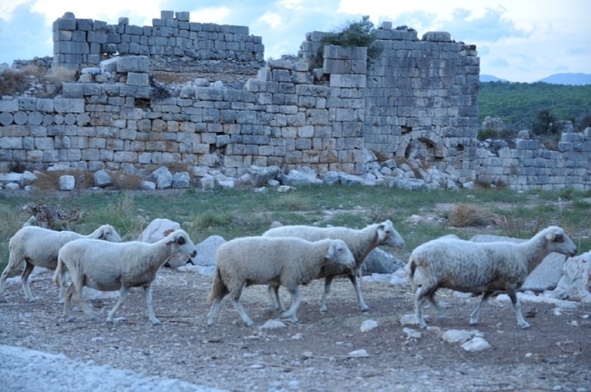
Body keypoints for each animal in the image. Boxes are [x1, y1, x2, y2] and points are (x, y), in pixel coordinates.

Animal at [53, 230, 197, 324]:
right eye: (181, 240)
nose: (195, 252)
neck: (152, 254)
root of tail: (62, 251)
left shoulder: (146, 283)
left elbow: (150, 301)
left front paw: (154, 319)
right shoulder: (126, 281)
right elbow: (122, 301)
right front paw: (110, 317)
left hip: (82, 277)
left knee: (68, 292)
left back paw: (67, 316)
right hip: (76, 271)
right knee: (78, 296)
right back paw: (92, 315)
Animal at [208, 237, 356, 326]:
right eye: (340, 249)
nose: (353, 262)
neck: (309, 253)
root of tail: (218, 254)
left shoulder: (292, 280)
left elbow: (294, 299)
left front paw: (293, 317)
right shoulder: (289, 278)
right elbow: (298, 298)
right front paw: (288, 314)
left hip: (225, 278)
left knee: (219, 297)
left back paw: (210, 319)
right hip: (235, 277)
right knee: (234, 299)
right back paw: (248, 320)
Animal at [264, 220, 408, 312]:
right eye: (388, 231)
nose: (402, 244)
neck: (358, 241)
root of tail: (266, 234)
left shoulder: (350, 268)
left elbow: (357, 288)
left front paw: (363, 306)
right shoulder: (332, 270)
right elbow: (327, 289)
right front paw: (322, 307)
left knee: (274, 288)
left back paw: (279, 306)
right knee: (273, 288)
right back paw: (278, 306)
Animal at [410, 225, 576, 330]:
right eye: (559, 238)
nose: (575, 250)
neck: (524, 254)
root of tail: (415, 254)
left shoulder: (491, 286)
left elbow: (483, 302)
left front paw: (473, 318)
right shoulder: (510, 283)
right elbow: (516, 304)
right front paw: (523, 323)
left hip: (436, 280)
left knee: (428, 297)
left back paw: (440, 313)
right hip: (430, 278)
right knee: (419, 298)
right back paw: (421, 322)